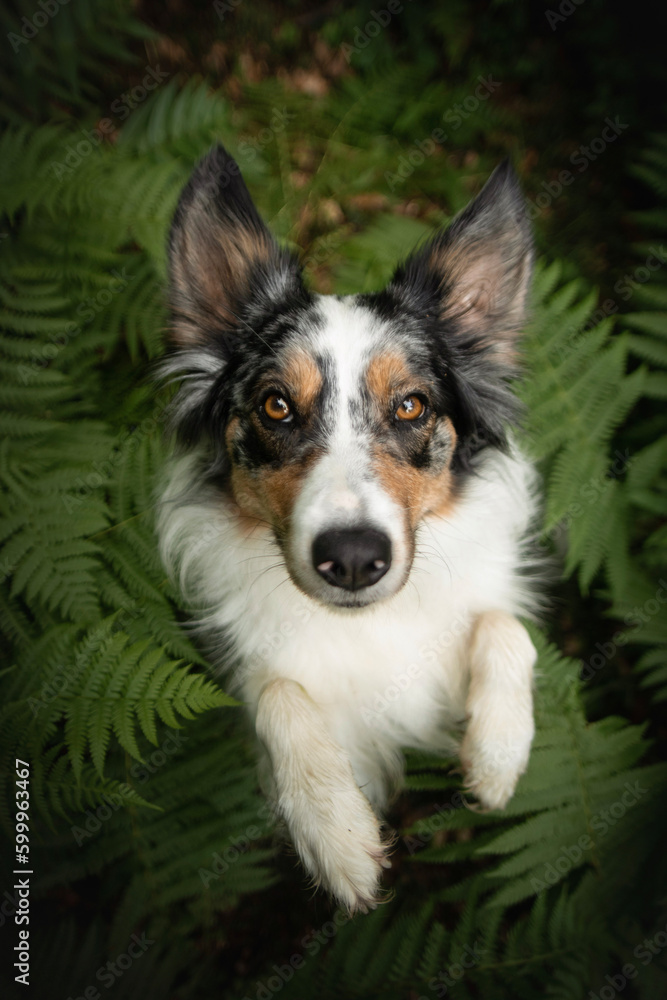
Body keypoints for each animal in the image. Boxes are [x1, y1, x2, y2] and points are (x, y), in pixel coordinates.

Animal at [158, 145, 544, 916]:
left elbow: (505, 626)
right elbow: (273, 690)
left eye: (411, 406)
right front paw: (334, 830)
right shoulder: (246, 674)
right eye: (276, 406)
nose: (355, 559)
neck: (366, 623)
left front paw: (497, 753)